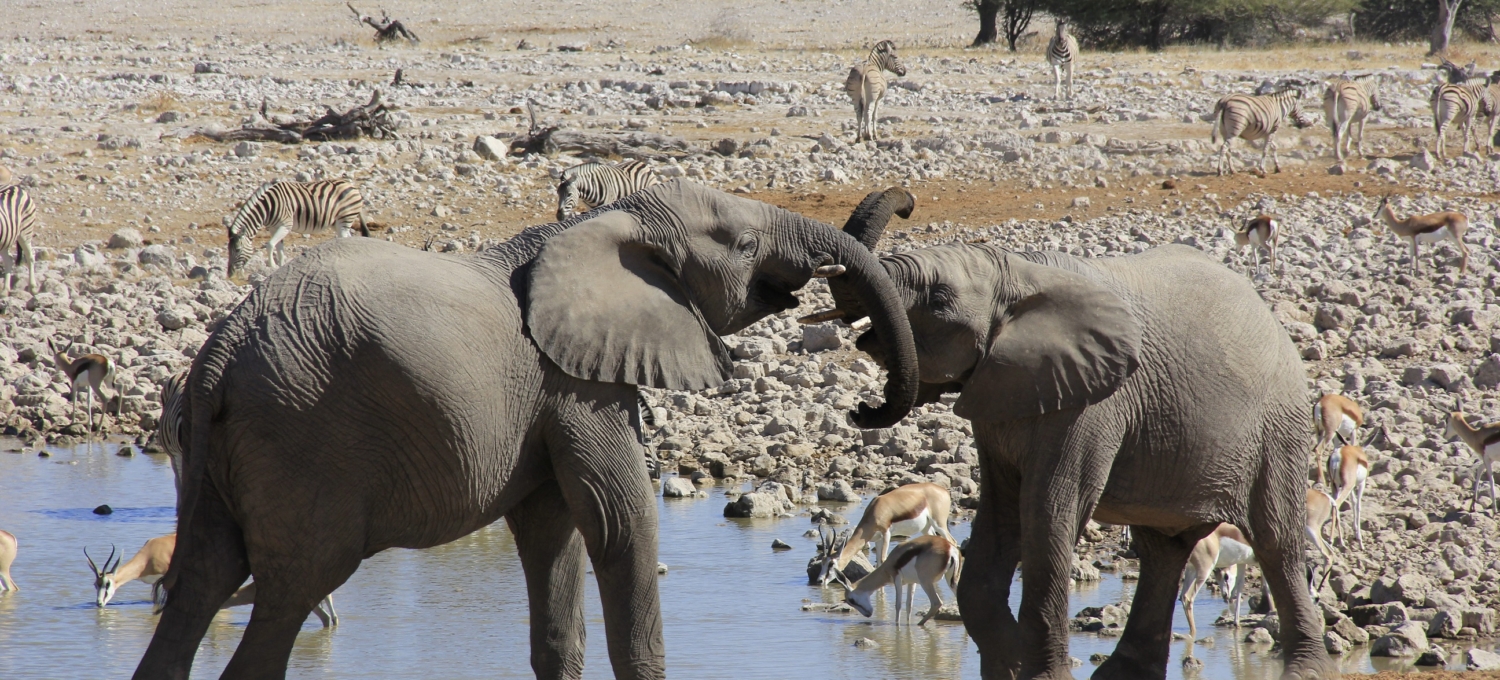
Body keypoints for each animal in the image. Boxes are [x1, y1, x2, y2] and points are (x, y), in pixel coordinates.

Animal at [226, 180, 370, 277]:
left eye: (238, 250)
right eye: (228, 250)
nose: (230, 275)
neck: (268, 208)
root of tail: (353, 186)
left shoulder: (285, 225)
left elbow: (270, 245)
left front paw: (272, 266)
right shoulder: (273, 228)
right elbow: (279, 249)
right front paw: (280, 266)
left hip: (344, 220)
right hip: (337, 223)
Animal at [822, 186, 1338, 678]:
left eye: (938, 299)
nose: (862, 410)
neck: (1018, 270)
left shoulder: (1093, 404)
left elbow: (1049, 511)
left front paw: (1036, 672)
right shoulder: (1000, 393)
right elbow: (999, 517)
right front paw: (1012, 665)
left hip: (1278, 427)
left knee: (1275, 541)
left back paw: (1305, 670)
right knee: (1162, 550)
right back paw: (1121, 674)